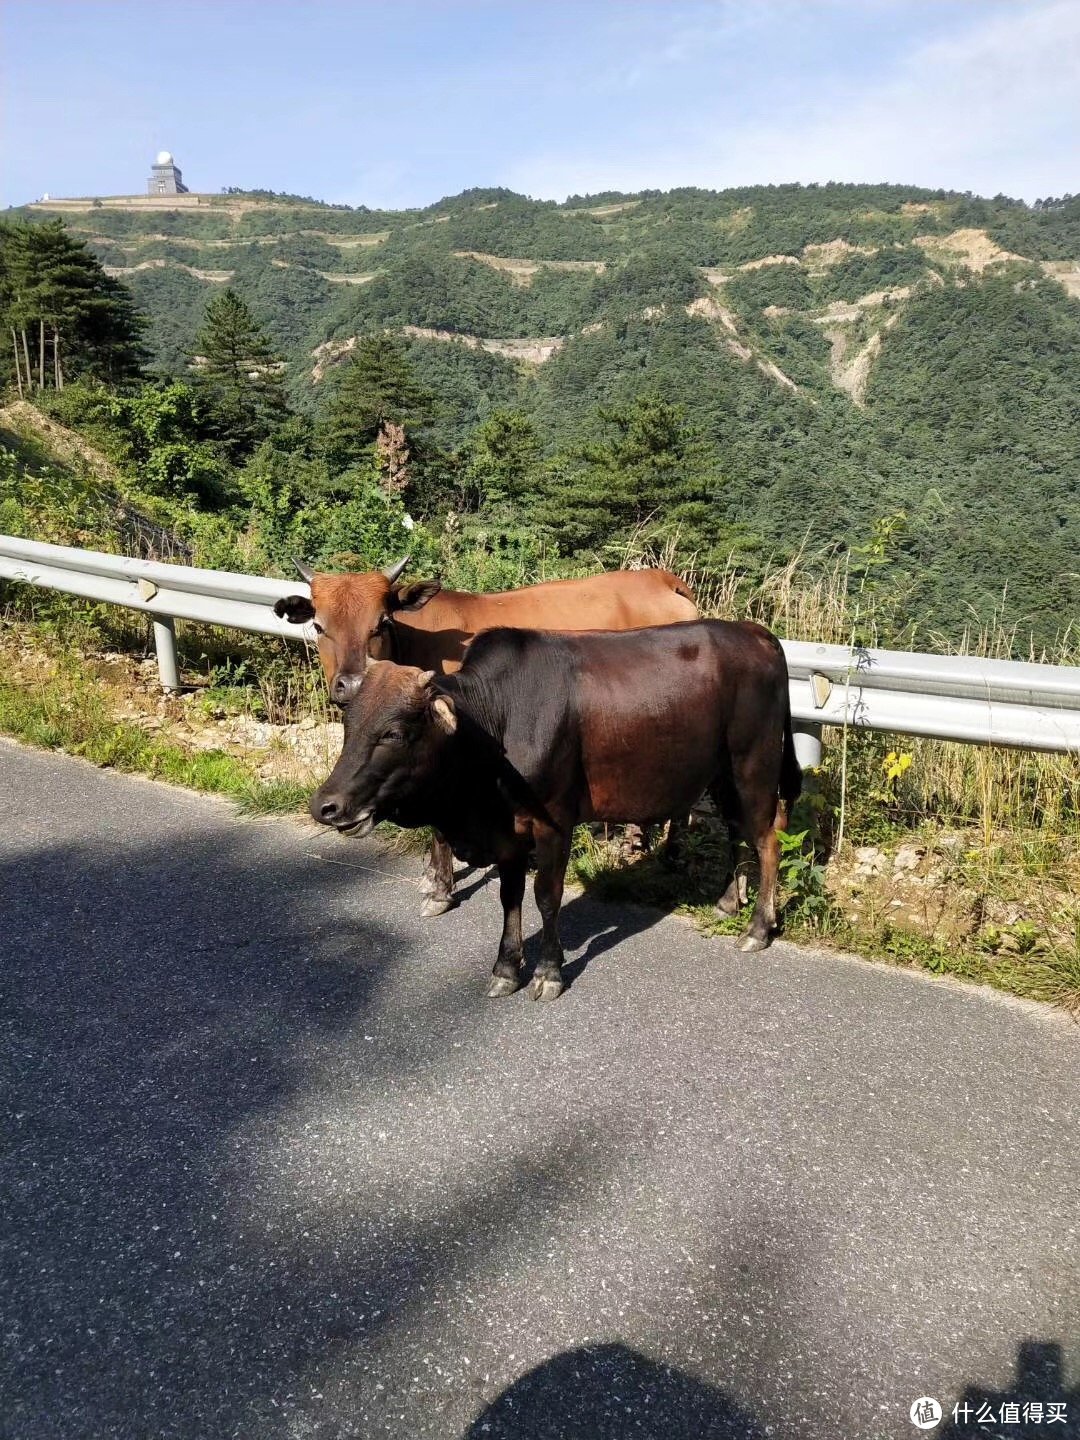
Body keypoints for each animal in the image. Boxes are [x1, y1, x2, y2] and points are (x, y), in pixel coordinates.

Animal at [275, 558, 696, 910]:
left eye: (381, 624)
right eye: (319, 627)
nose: (350, 683)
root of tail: (661, 578)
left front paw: (440, 890)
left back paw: (668, 854)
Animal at [308, 619, 800, 1002]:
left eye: (393, 733)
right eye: (350, 725)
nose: (325, 806)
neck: (496, 727)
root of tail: (757, 633)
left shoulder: (553, 825)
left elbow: (546, 896)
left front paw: (547, 971)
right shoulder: (507, 835)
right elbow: (509, 898)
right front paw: (506, 968)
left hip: (753, 766)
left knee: (768, 837)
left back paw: (758, 927)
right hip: (722, 774)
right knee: (737, 830)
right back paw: (728, 902)